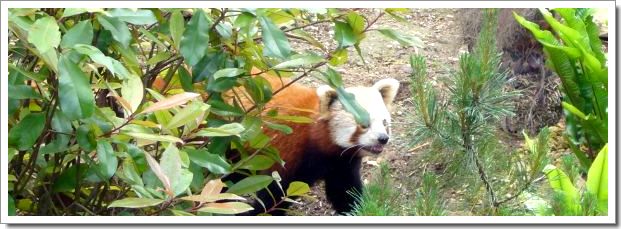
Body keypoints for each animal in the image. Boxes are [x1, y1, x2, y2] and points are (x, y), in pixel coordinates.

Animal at [234, 69, 402, 216]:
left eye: (384, 123)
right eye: (364, 125)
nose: (383, 138)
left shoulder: (342, 163)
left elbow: (344, 192)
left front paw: (360, 211)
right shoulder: (284, 153)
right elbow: (274, 196)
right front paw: (256, 213)